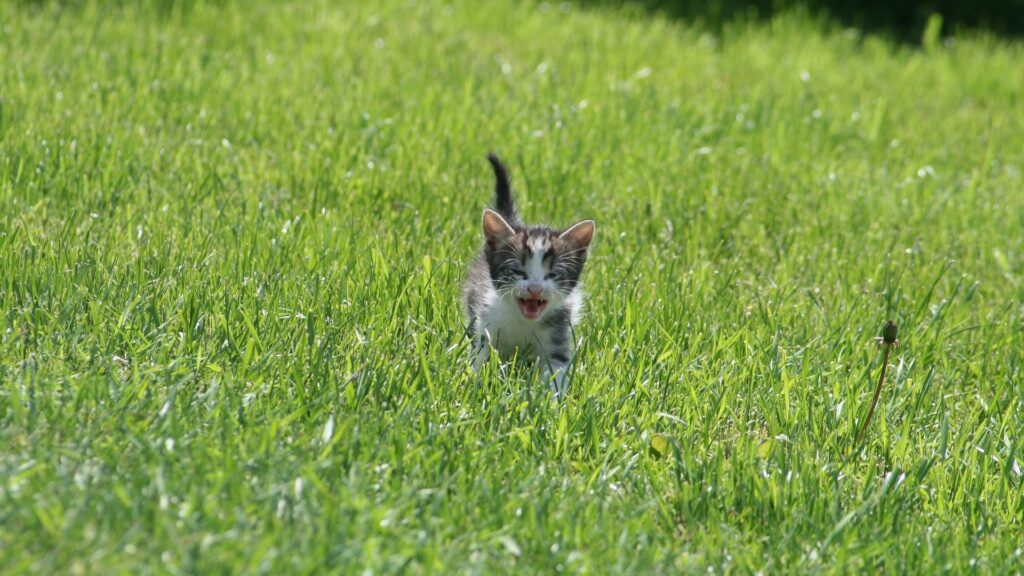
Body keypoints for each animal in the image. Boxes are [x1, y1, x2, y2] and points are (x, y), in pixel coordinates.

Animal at [462, 153, 598, 393]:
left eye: (553, 274)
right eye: (518, 271)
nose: (535, 289)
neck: (523, 322)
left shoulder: (557, 337)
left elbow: (556, 371)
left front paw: (551, 399)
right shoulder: (486, 325)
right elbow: (480, 357)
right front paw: (474, 385)